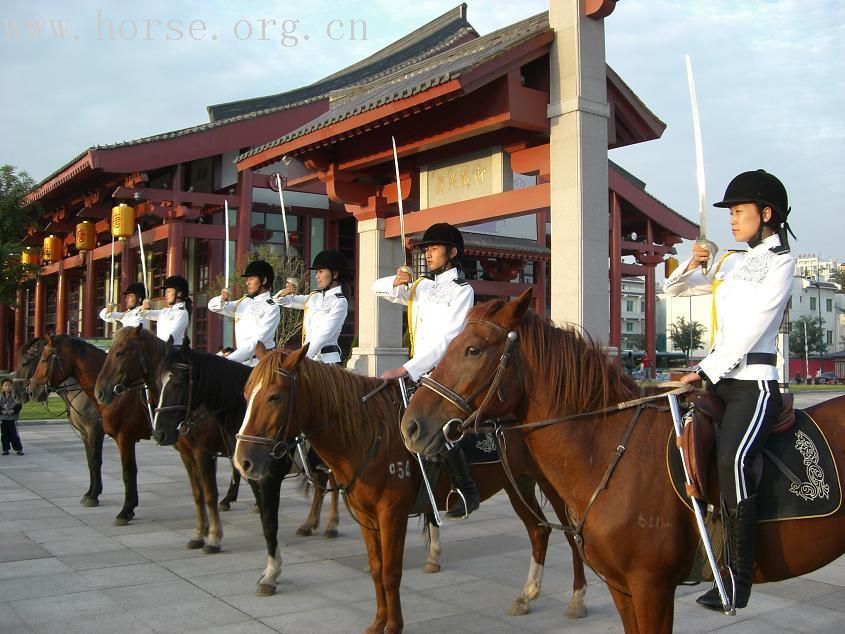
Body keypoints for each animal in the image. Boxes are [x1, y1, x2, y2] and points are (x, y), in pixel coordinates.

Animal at [13, 338, 104, 506]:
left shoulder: (95, 430)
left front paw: (93, 496)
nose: (16, 395)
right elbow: (90, 461)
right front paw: (89, 493)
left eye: (26, 362)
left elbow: (96, 461)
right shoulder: (85, 433)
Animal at [25, 336, 152, 524]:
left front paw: (124, 509)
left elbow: (122, 470)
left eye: (43, 359)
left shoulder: (111, 434)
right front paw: (91, 494)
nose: (31, 391)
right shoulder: (86, 433)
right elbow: (91, 462)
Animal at [231, 346, 588, 632]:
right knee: (539, 531)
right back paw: (527, 596)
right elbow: (376, 570)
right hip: (517, 484)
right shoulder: (366, 517)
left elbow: (391, 572)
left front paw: (393, 626)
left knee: (572, 535)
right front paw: (378, 623)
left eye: (275, 396)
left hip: (553, 485)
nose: (243, 461)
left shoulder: (392, 513)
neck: (369, 434)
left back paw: (577, 598)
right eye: (246, 393)